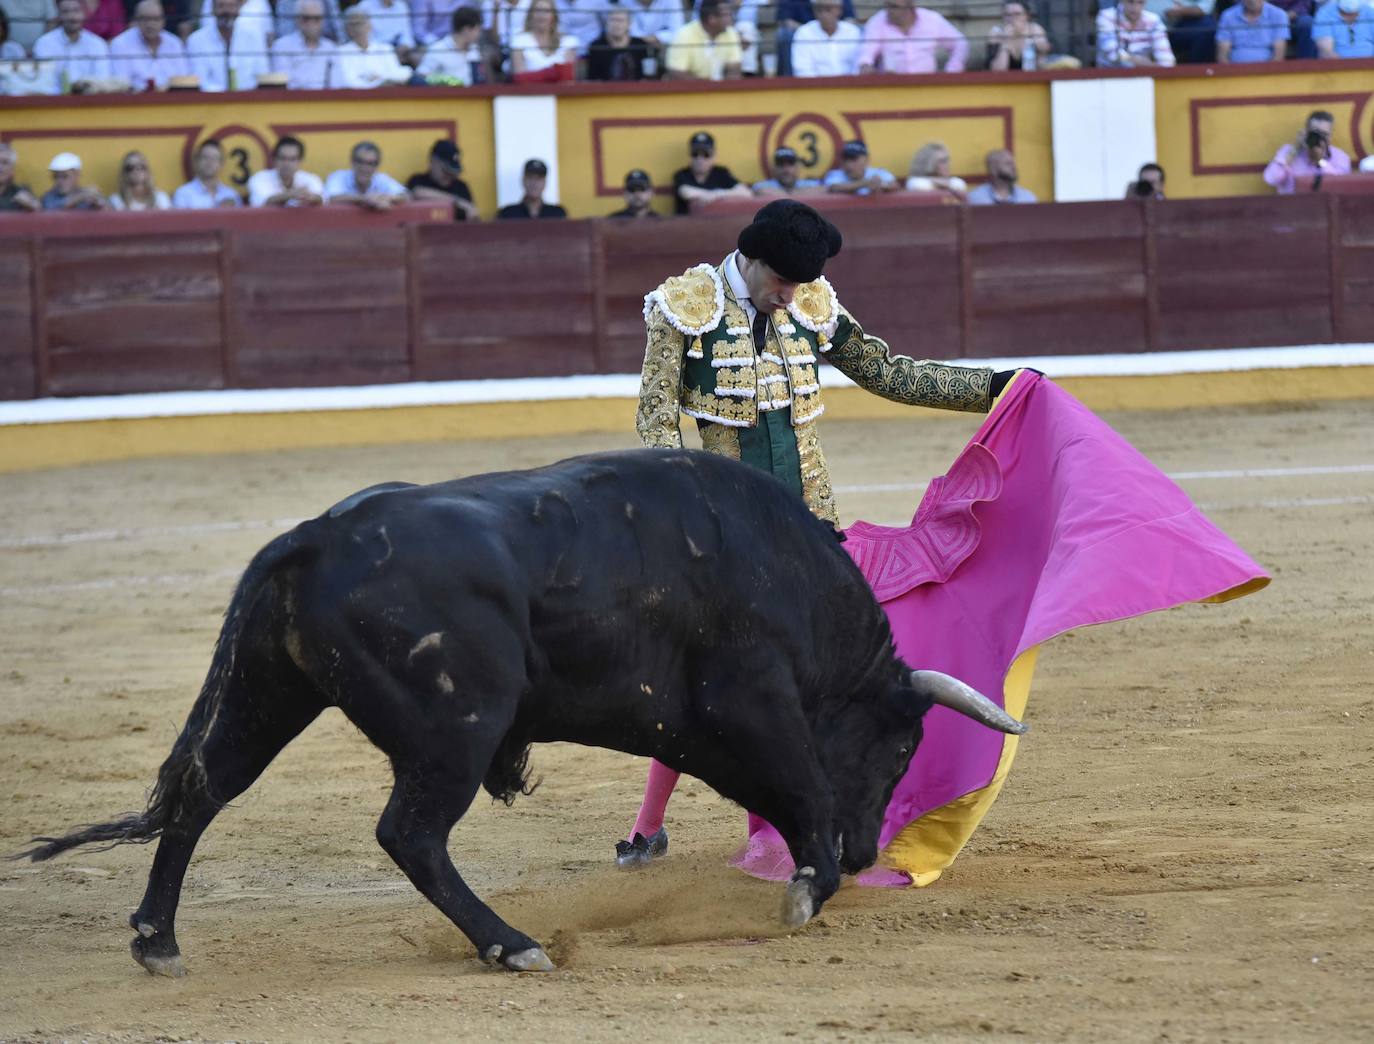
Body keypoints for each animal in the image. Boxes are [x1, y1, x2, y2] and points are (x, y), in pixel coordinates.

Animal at [24, 447, 1022, 972]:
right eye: (900, 748)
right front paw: (809, 887)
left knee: (202, 794)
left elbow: (781, 791)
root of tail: (311, 539)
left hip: (270, 693)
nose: (865, 856)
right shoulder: (752, 704)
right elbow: (806, 787)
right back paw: (511, 944)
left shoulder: (703, 730)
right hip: (453, 731)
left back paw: (157, 940)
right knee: (411, 835)